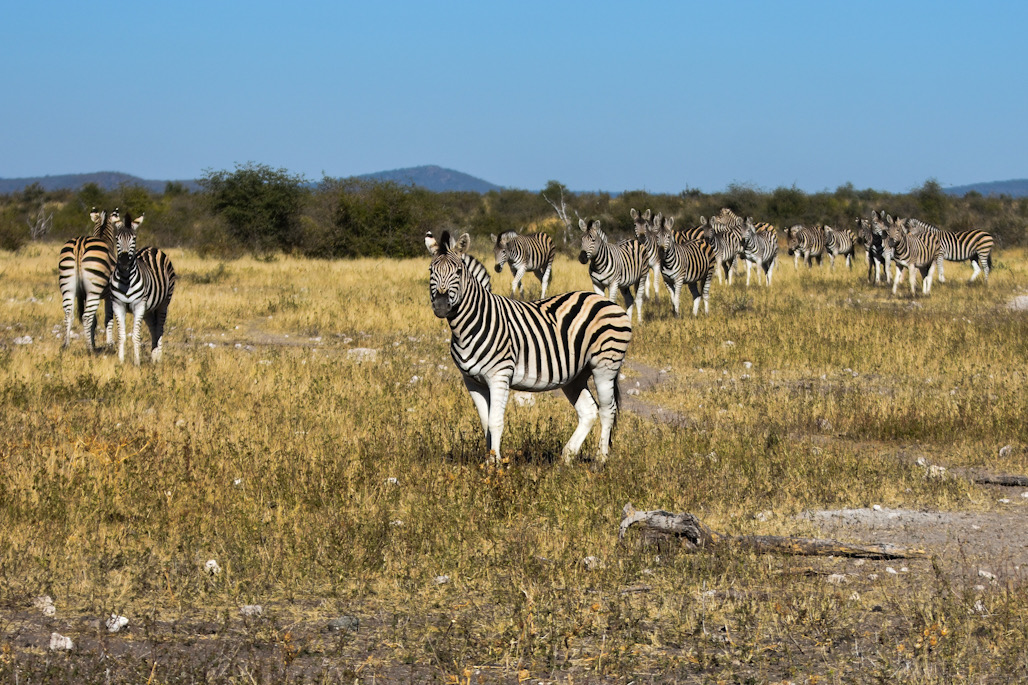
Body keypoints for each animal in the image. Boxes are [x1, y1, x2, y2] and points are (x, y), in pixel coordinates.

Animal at [58, 205, 116, 349]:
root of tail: (80, 243)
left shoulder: (84, 295)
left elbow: (95, 321)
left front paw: (93, 340)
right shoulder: (110, 295)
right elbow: (108, 319)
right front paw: (109, 343)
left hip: (68, 285)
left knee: (69, 314)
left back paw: (66, 344)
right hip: (94, 290)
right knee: (86, 317)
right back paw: (90, 349)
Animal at [112, 211, 178, 362]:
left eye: (134, 238)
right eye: (117, 238)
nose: (124, 261)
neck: (125, 279)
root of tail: (152, 248)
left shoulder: (139, 305)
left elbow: (136, 336)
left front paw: (137, 363)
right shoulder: (118, 305)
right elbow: (121, 336)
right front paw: (120, 362)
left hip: (163, 303)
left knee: (159, 328)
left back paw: (159, 358)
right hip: (148, 308)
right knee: (153, 328)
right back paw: (154, 356)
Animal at [427, 229, 633, 464]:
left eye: (458, 271)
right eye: (431, 270)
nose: (441, 306)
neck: (473, 322)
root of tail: (607, 302)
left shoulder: (500, 375)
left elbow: (495, 422)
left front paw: (495, 466)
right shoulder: (472, 381)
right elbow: (485, 423)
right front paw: (489, 461)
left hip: (605, 365)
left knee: (608, 410)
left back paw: (601, 460)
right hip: (576, 374)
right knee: (589, 411)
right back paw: (566, 458)